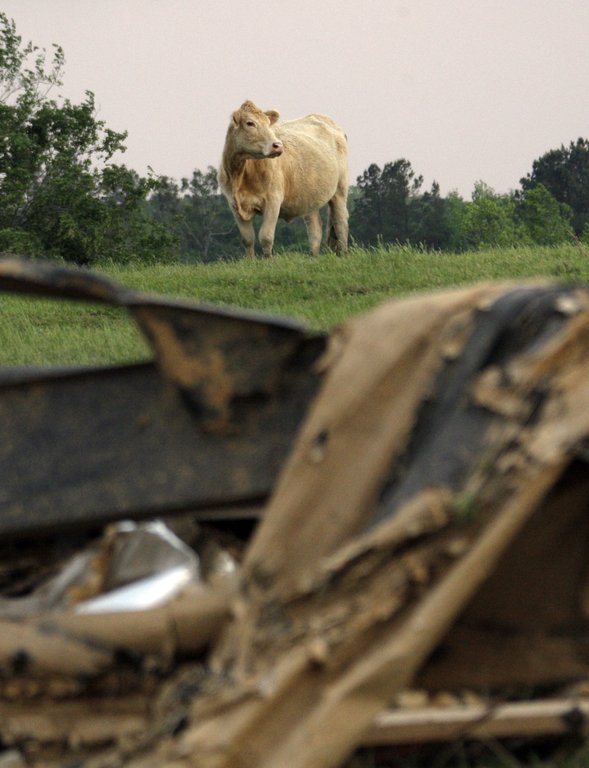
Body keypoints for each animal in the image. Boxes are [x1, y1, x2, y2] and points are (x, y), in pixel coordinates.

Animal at [219, 100, 348, 258]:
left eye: (268, 123)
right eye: (250, 123)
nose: (278, 145)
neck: (240, 176)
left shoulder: (273, 201)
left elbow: (266, 237)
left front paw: (268, 262)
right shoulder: (234, 205)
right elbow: (248, 239)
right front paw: (250, 262)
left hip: (340, 189)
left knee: (340, 222)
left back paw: (343, 254)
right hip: (309, 196)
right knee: (315, 229)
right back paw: (313, 257)